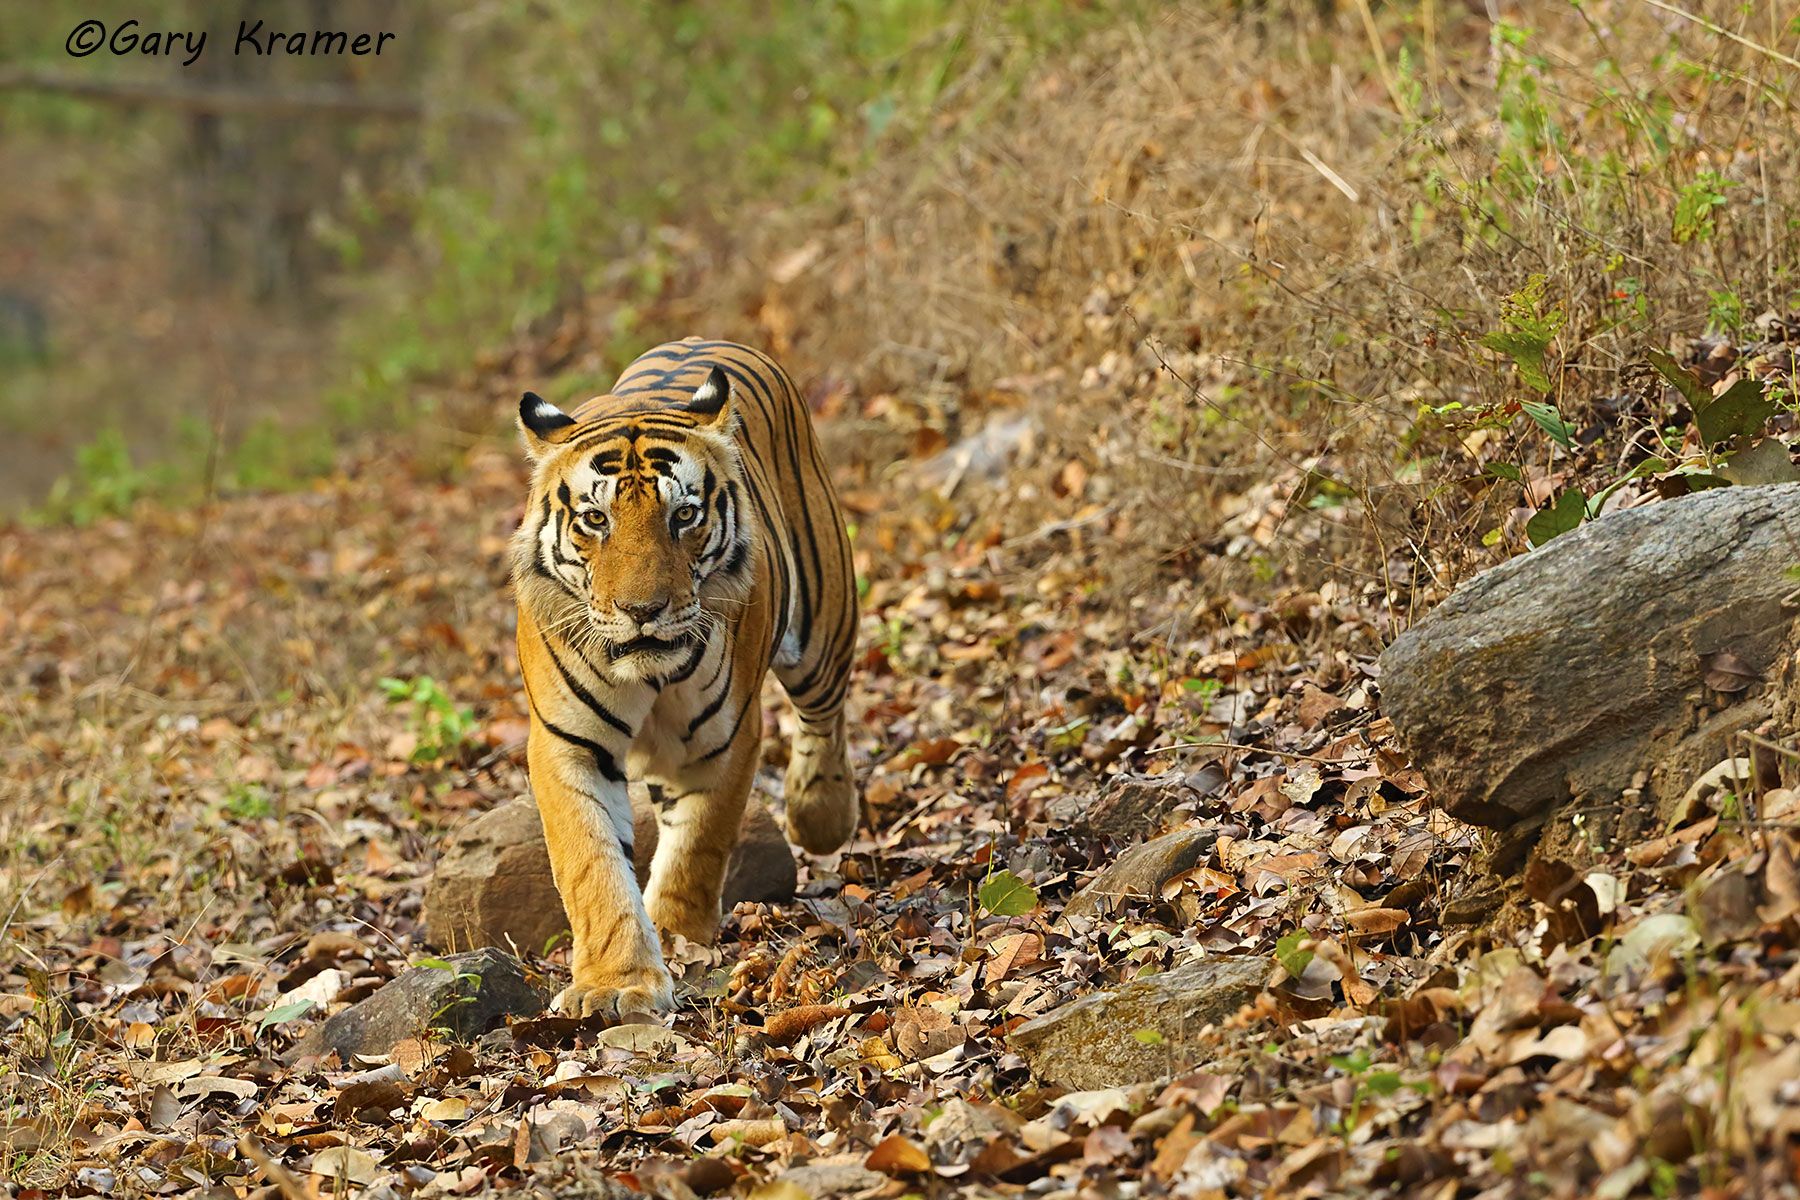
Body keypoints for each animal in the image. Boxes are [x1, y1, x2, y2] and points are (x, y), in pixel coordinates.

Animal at [509, 337, 860, 1021]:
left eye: (685, 515)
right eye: (596, 519)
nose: (642, 610)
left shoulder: (722, 738)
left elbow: (697, 844)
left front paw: (675, 938)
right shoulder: (568, 745)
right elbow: (592, 864)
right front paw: (616, 982)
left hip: (823, 626)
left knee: (822, 715)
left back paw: (819, 814)